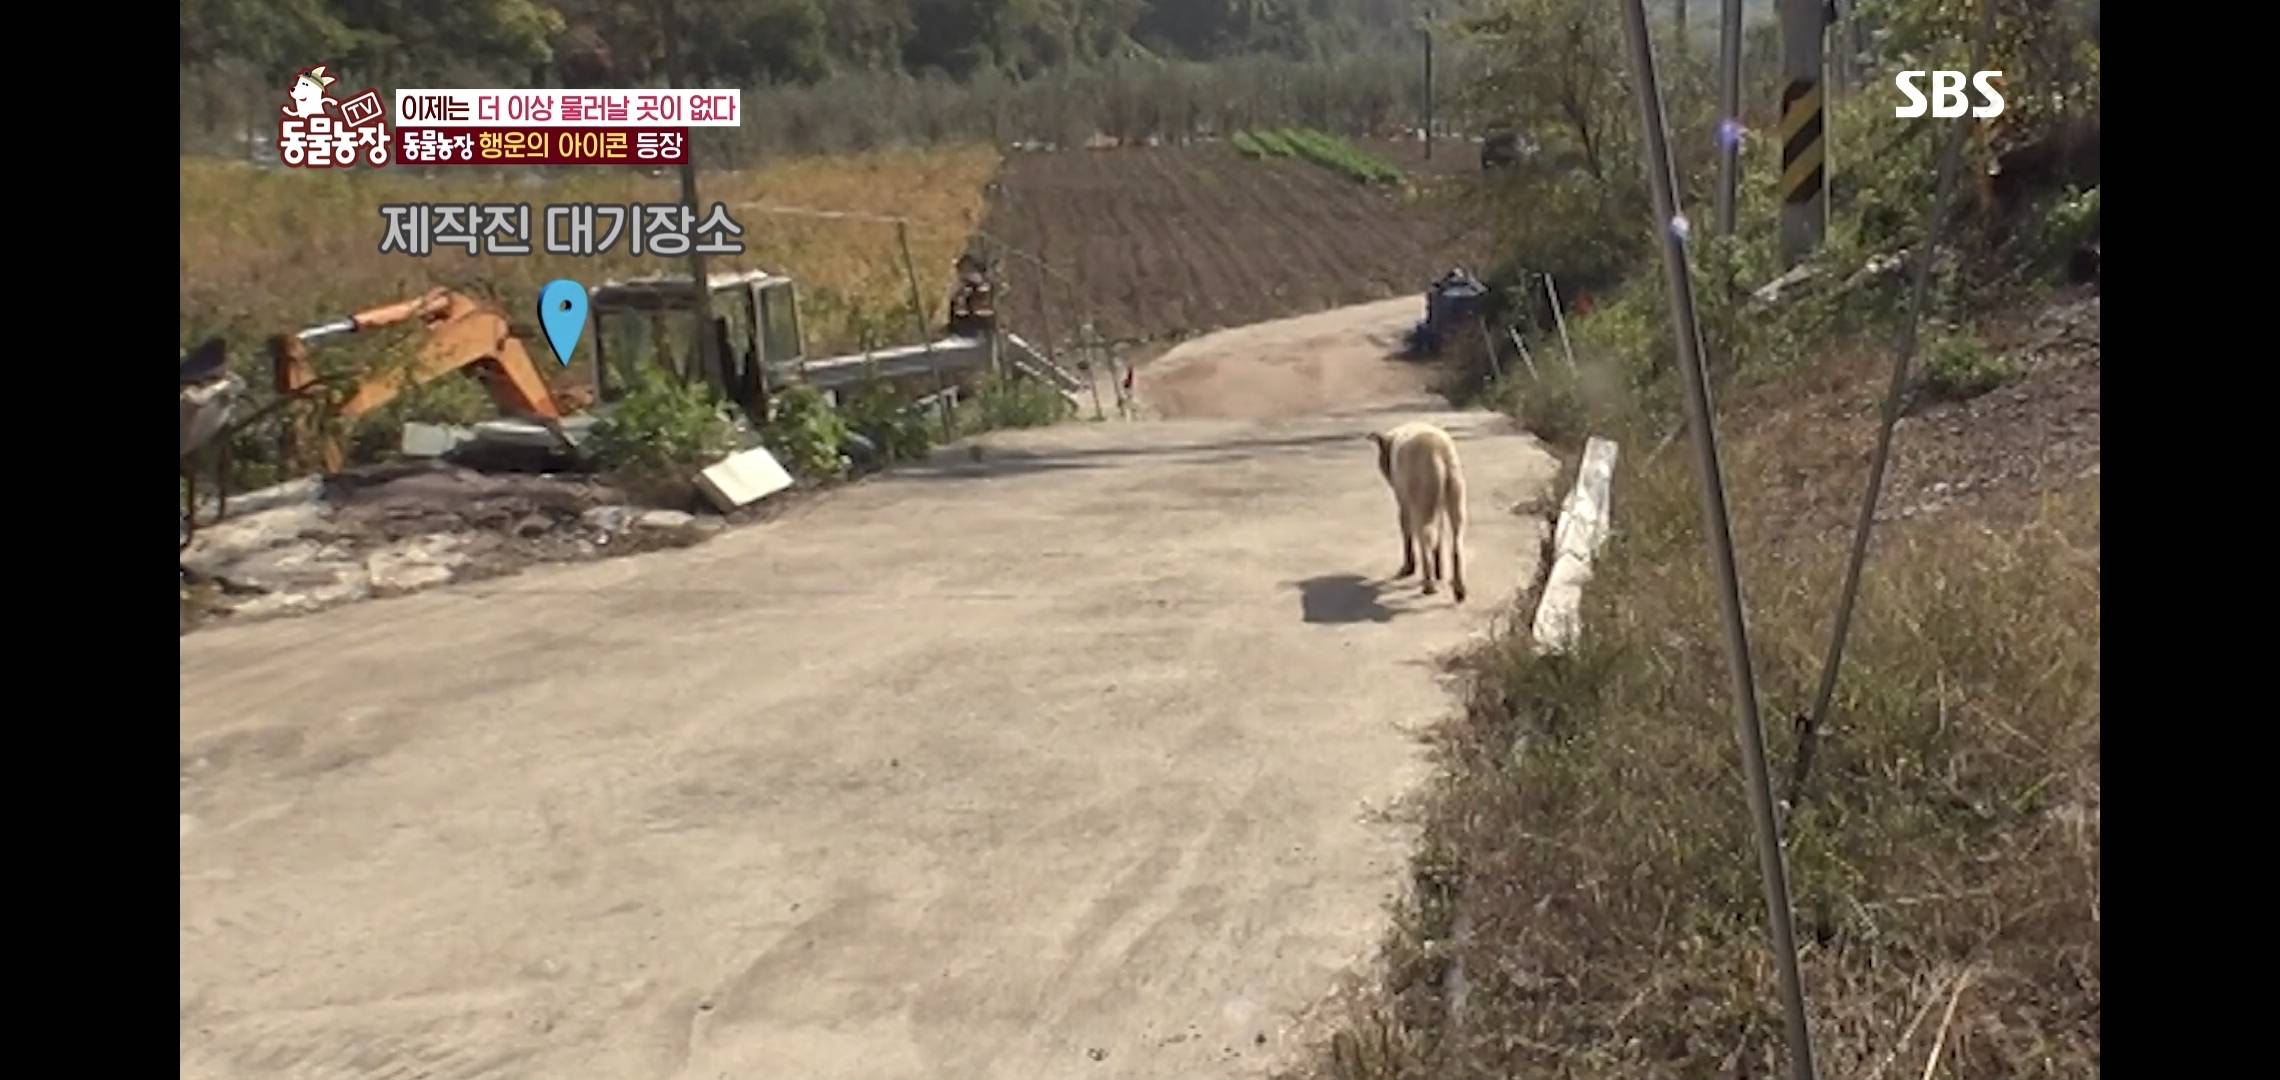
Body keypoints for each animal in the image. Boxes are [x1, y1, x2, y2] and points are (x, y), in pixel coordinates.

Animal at [1358, 421, 1468, 601]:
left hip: (1421, 493)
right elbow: (1440, 530)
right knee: (1456, 538)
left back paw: (1428, 585)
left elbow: (1406, 529)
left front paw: (1407, 569)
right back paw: (1458, 590)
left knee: (1424, 535)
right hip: (1455, 486)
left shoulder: (1403, 498)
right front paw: (1439, 572)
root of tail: (1438, 452)